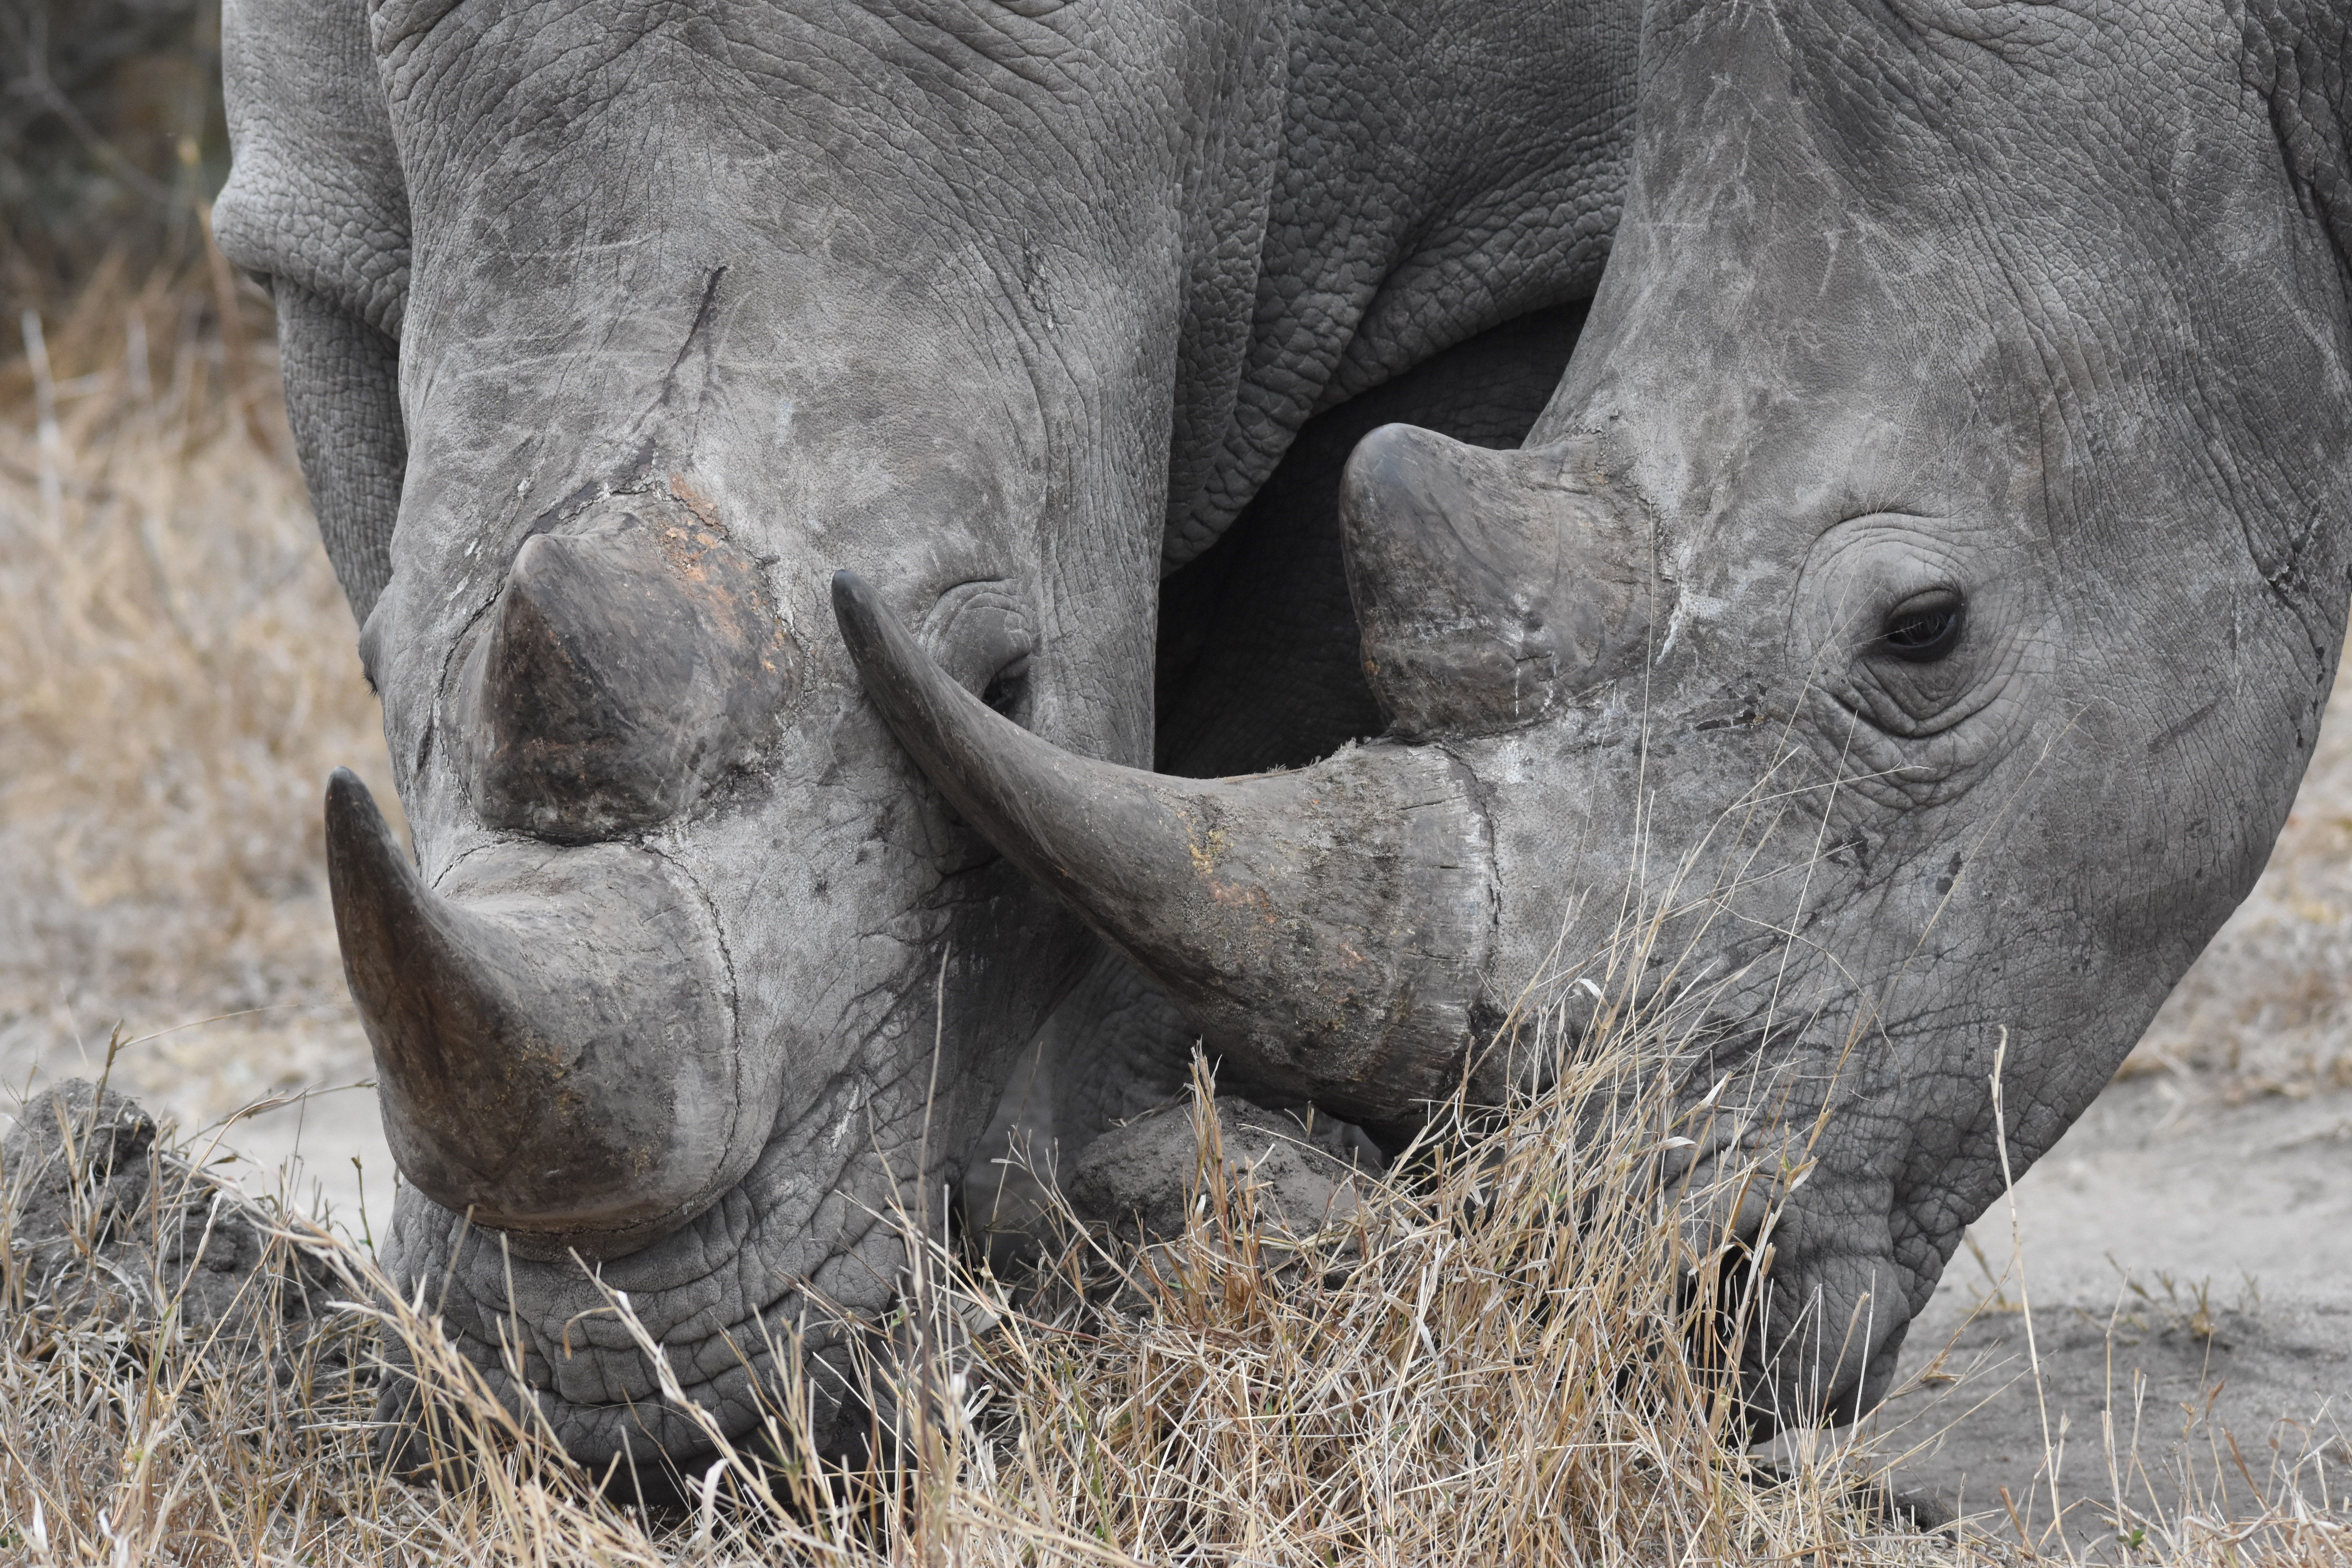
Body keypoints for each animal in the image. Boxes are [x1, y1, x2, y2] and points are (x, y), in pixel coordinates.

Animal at [213, 0, 2352, 1470]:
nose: (642, 1409)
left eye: (1925, 632)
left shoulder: (1499, 216)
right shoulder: (307, 217)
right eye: (380, 667)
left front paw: (1158, 1251)